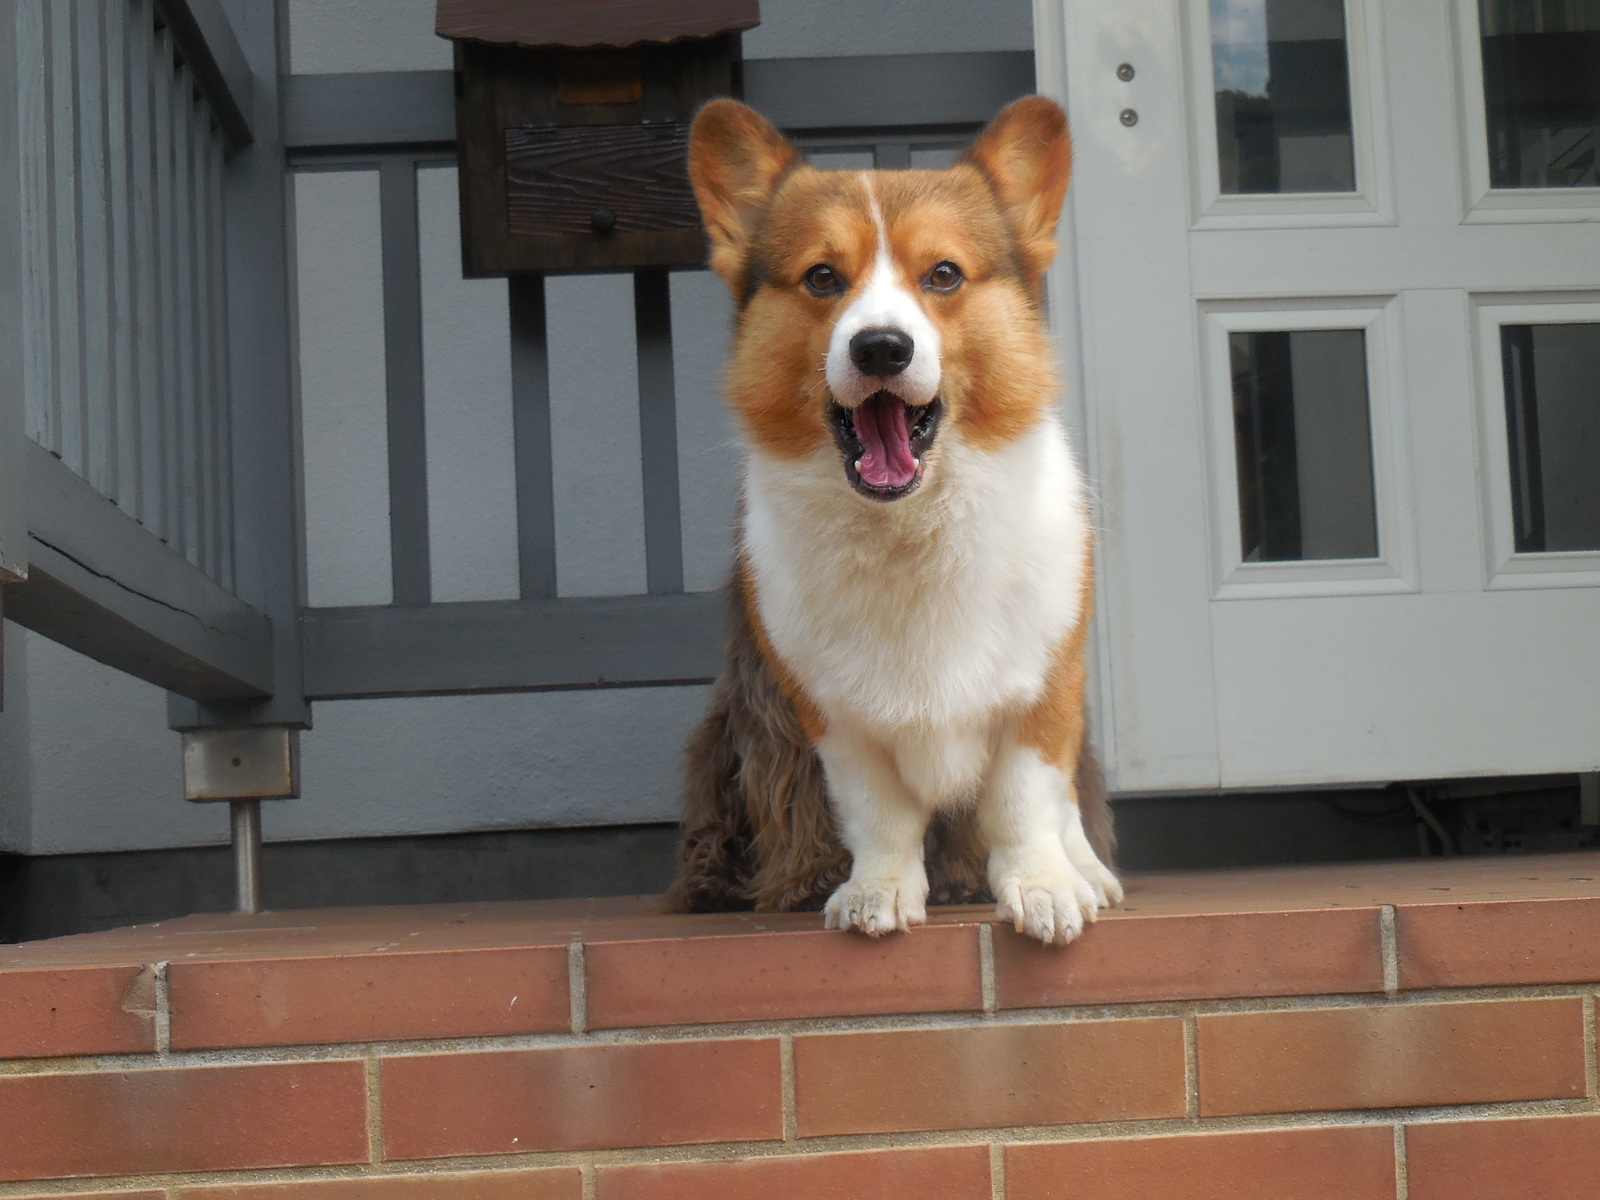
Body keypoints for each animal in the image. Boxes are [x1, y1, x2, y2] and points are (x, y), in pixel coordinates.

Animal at [668, 94, 1120, 947]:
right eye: (822, 277)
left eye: (944, 274)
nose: (881, 347)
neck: (909, 529)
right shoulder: (833, 721)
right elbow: (879, 818)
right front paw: (874, 893)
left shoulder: (1041, 696)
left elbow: (1025, 805)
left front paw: (1044, 890)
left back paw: (1089, 875)